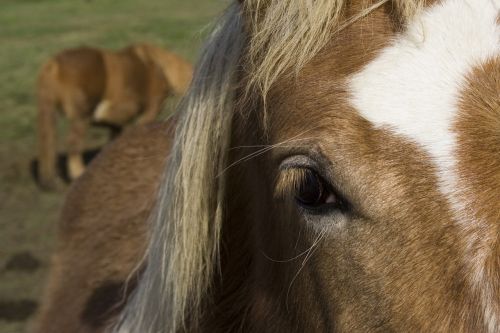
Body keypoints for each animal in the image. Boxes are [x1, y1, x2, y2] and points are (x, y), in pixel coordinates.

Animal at [36, 43, 193, 189]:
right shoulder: (149, 112)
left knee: (48, 143)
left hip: (49, 114)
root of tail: (54, 64)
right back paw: (77, 173)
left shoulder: (116, 125)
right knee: (73, 144)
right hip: (81, 118)